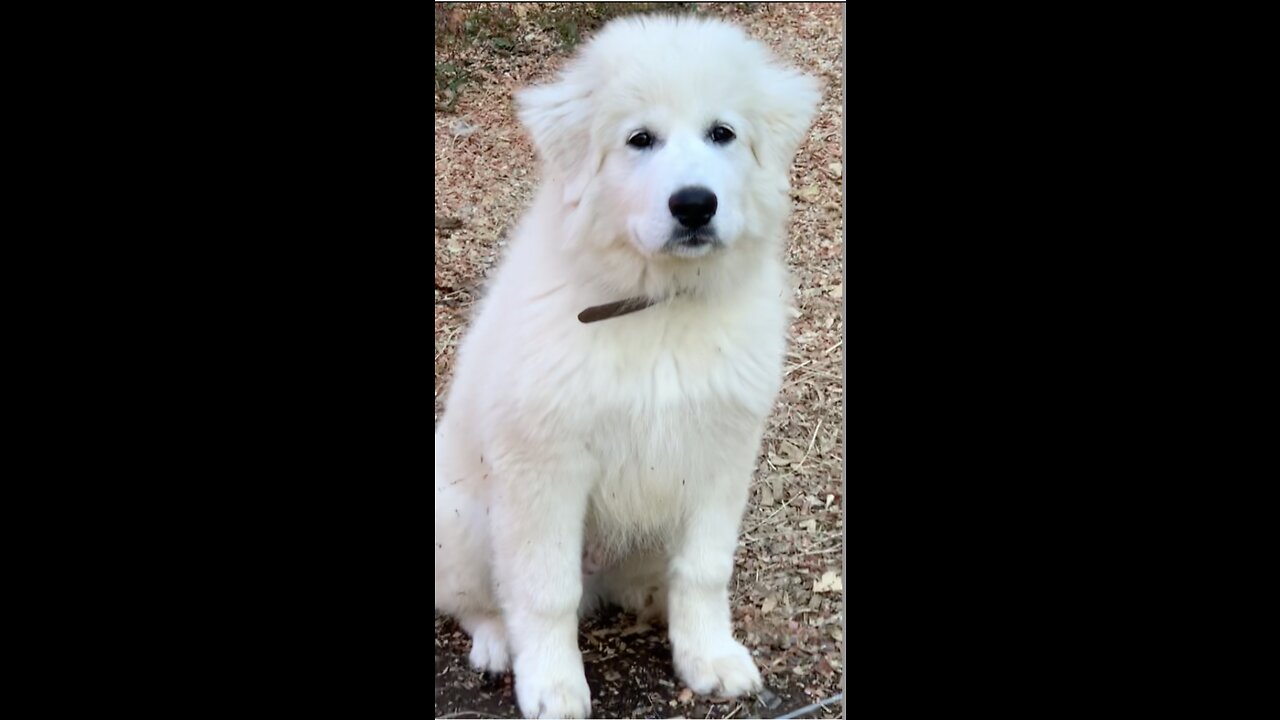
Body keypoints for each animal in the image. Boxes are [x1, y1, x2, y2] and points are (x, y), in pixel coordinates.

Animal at [435, 12, 819, 717]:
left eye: (722, 133)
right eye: (640, 139)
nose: (694, 205)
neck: (658, 305)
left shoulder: (721, 451)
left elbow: (704, 570)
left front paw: (709, 657)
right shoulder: (546, 465)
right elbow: (544, 591)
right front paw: (554, 687)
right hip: (466, 522)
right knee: (475, 599)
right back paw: (498, 645)